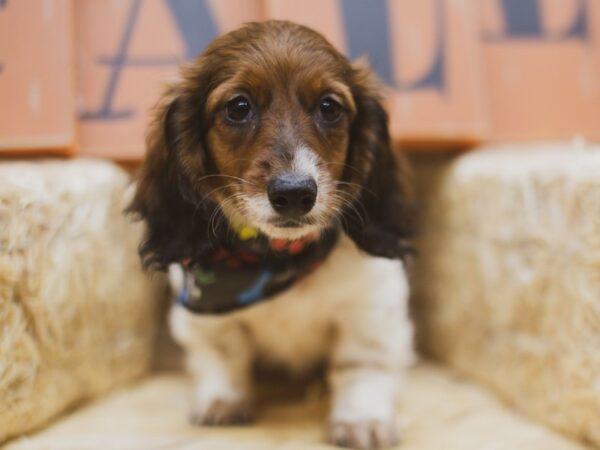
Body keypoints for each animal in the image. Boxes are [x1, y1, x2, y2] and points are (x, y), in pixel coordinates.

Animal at [129, 19, 414, 448]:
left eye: (329, 107)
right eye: (238, 107)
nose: (295, 193)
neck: (277, 257)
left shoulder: (371, 307)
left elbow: (360, 362)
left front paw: (362, 417)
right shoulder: (204, 319)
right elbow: (222, 353)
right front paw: (222, 400)